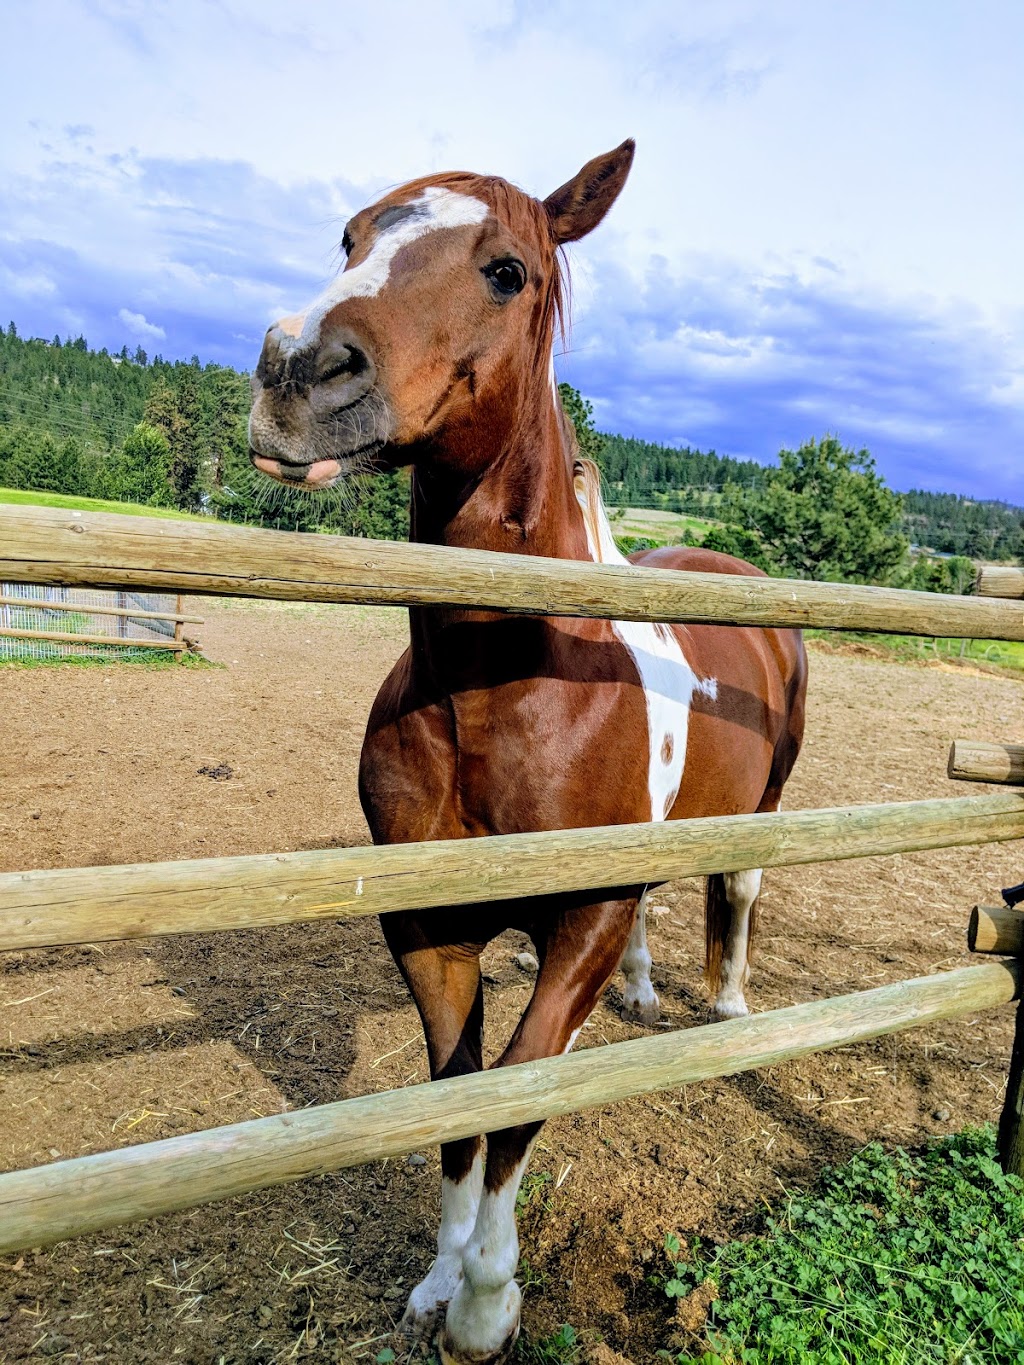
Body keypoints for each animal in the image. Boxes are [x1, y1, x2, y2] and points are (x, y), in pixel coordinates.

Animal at [251, 138, 808, 1365]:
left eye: (505, 269)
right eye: (350, 237)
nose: (296, 371)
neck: (503, 690)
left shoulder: (577, 927)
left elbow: (513, 1095)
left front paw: (487, 1301)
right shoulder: (428, 930)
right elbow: (454, 1098)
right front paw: (437, 1279)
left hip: (762, 805)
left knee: (737, 888)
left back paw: (727, 1005)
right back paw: (647, 993)